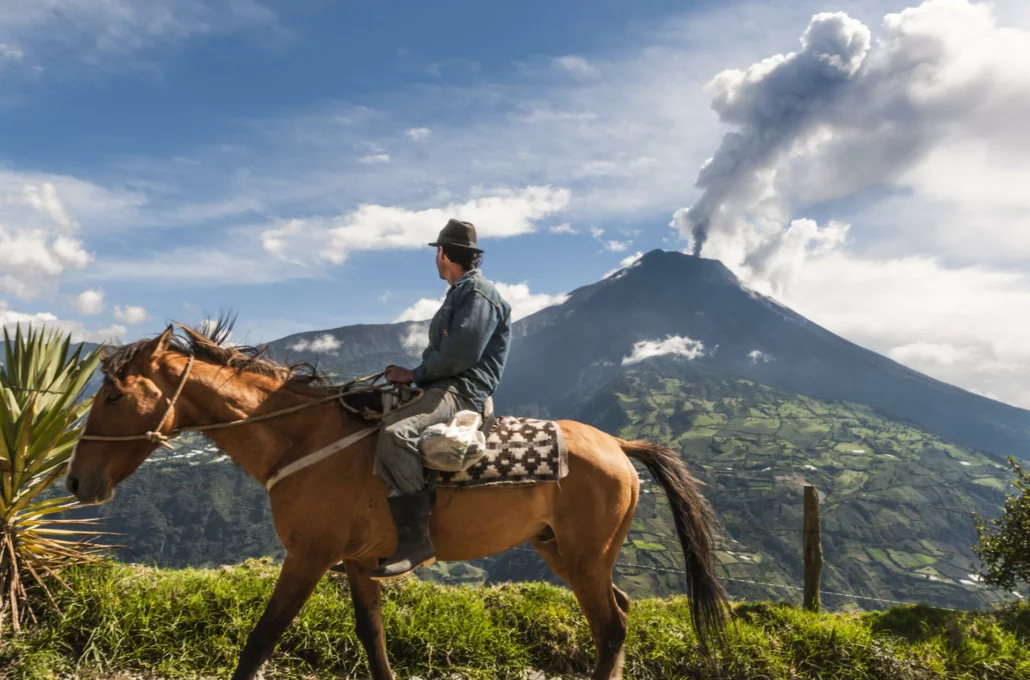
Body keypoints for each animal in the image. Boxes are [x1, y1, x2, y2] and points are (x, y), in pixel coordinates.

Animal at [66, 321, 725, 675]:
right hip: (560, 550)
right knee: (619, 613)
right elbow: (372, 637)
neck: (305, 437)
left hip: (584, 557)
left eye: (115, 397)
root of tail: (617, 443)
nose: (74, 483)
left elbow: (262, 639)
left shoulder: (309, 555)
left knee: (610, 625)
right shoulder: (358, 563)